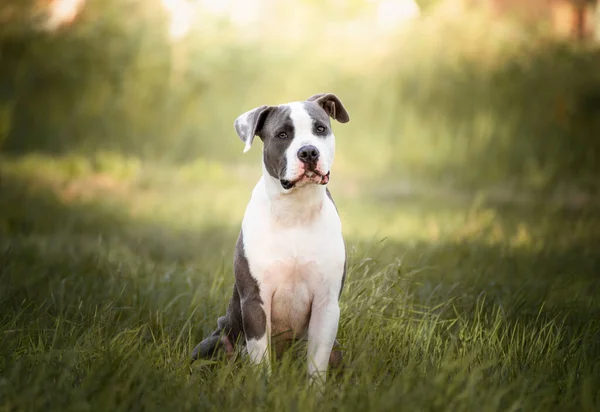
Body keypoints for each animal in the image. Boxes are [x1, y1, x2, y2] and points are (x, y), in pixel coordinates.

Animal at [192, 93, 350, 386]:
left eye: (320, 128)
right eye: (282, 134)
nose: (308, 152)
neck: (296, 210)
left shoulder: (327, 303)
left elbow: (317, 361)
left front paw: (315, 392)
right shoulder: (255, 301)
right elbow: (259, 357)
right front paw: (262, 387)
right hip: (218, 339)